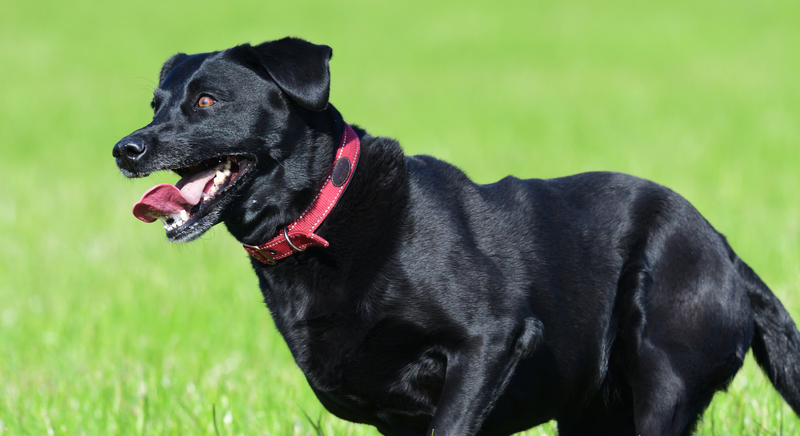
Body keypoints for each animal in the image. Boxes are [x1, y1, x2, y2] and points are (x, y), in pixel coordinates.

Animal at [112, 38, 800, 436]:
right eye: (155, 104)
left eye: (206, 101)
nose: (125, 149)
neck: (324, 219)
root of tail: (727, 251)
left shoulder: (490, 341)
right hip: (592, 413)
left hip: (662, 383)